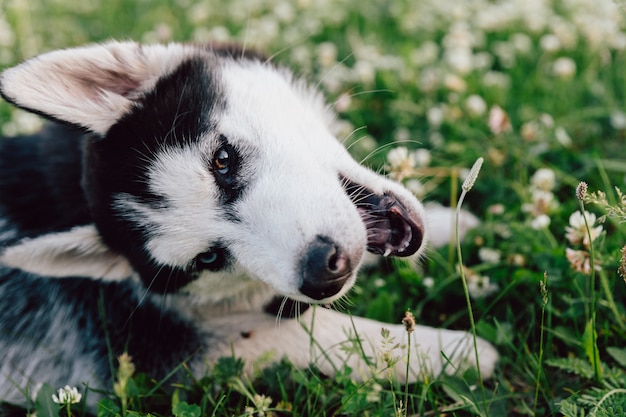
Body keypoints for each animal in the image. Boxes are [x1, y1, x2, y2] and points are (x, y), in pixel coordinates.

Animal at [0, 42, 498, 406]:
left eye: (222, 160)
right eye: (209, 258)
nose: (324, 271)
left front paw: (453, 222)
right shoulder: (162, 356)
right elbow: (321, 334)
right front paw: (457, 353)